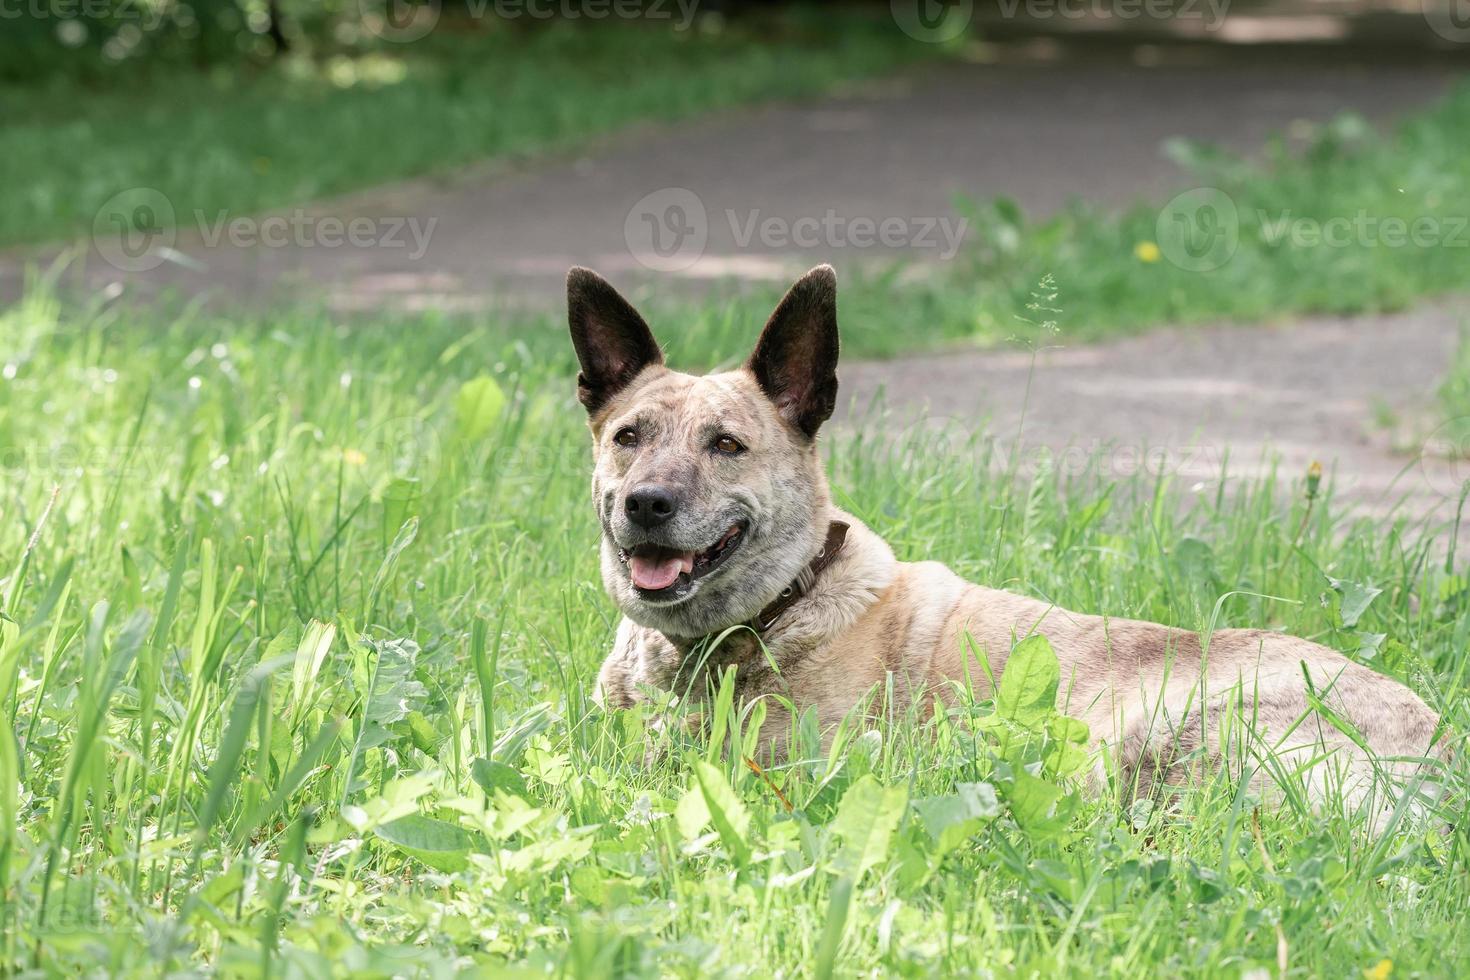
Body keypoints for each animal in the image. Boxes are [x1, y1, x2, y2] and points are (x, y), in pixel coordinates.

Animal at [573, 264, 1446, 816]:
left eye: (726, 445)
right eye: (629, 436)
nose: (646, 505)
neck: (784, 601)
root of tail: (1441, 761)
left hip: (1161, 739)